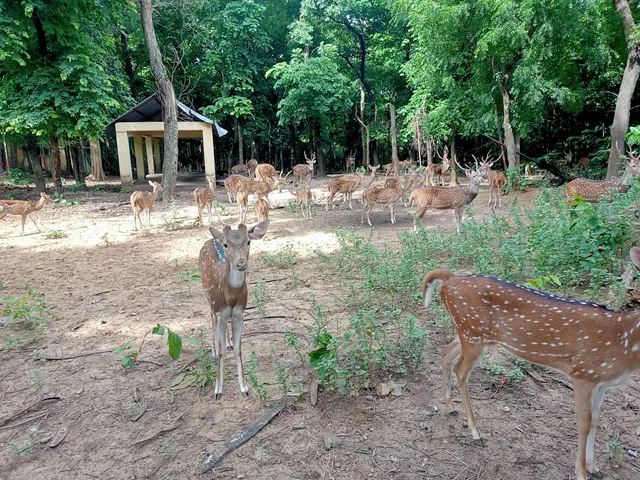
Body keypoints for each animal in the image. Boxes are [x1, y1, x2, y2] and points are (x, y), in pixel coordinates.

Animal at [198, 216, 270, 400]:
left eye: (249, 241)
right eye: (226, 244)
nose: (241, 263)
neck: (230, 296)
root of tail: (211, 238)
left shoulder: (239, 314)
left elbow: (239, 349)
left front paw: (244, 387)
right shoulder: (218, 310)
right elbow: (221, 351)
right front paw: (218, 390)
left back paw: (228, 342)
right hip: (208, 298)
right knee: (210, 319)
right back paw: (213, 352)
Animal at [422, 247, 640, 480]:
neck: (626, 343)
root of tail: (450, 279)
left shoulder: (602, 383)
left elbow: (597, 419)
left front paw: (593, 466)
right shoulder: (583, 372)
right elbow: (585, 422)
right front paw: (581, 473)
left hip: (469, 334)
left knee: (445, 353)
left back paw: (450, 406)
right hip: (472, 334)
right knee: (460, 370)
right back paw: (475, 431)